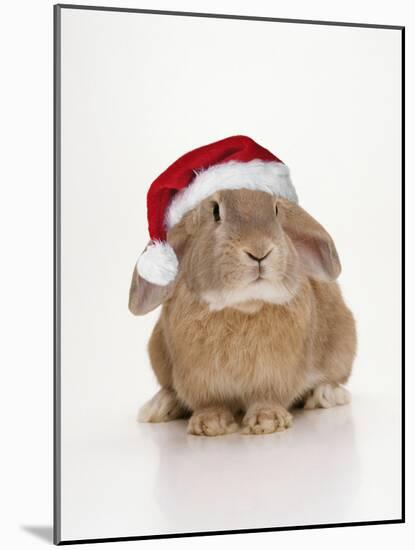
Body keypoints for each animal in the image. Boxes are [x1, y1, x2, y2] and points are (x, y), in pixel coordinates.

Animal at [130, 188, 358, 438]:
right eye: (215, 212)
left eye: (276, 210)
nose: (259, 251)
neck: (244, 305)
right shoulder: (199, 379)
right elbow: (208, 402)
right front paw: (209, 424)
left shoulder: (275, 376)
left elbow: (268, 398)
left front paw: (267, 421)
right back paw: (160, 406)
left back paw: (325, 395)